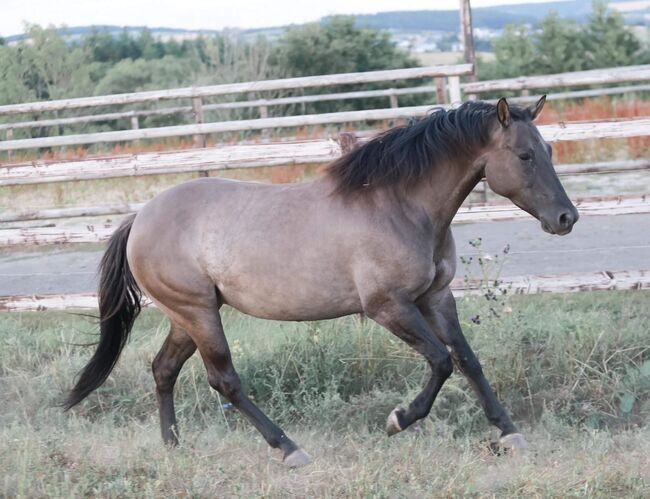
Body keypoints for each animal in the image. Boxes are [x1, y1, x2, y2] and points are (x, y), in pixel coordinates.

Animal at [62, 96, 576, 468]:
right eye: (525, 155)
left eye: (549, 150)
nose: (566, 218)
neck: (400, 205)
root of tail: (141, 217)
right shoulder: (389, 307)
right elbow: (441, 361)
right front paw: (398, 420)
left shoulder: (436, 298)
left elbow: (468, 360)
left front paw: (510, 434)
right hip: (198, 312)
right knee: (224, 379)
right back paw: (290, 450)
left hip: (187, 316)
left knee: (163, 369)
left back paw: (173, 447)